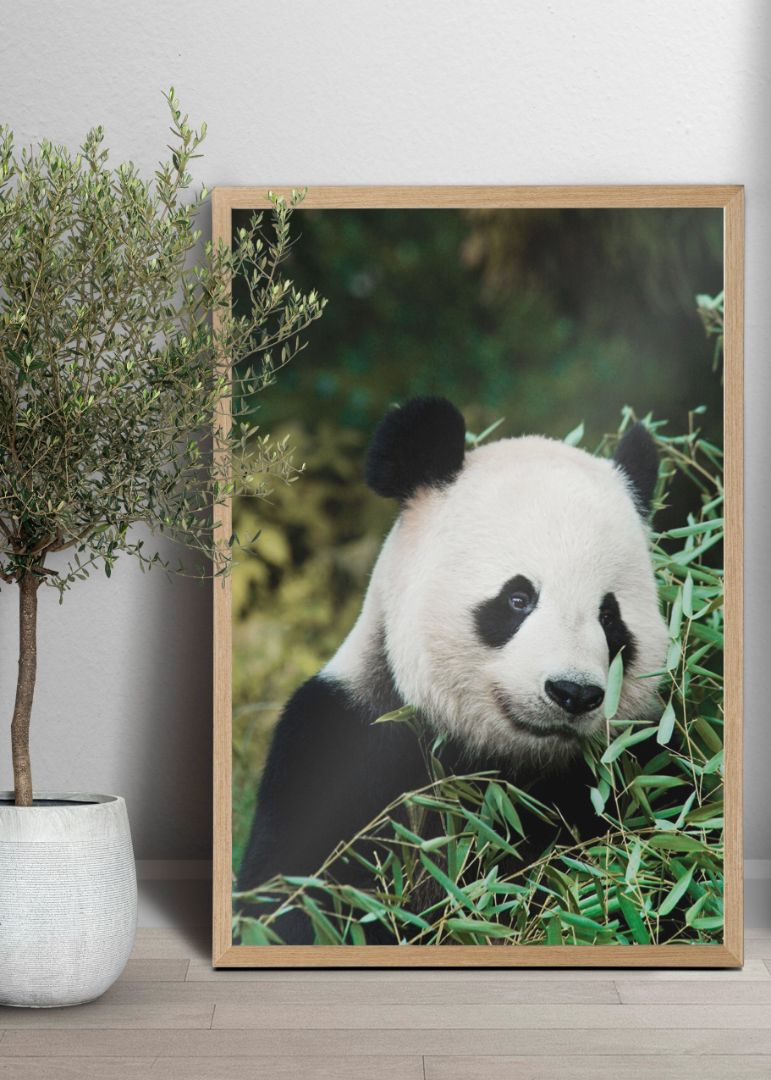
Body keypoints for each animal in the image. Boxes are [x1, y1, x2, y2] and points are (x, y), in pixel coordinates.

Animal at [236, 396, 669, 943]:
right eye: (518, 598)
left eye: (609, 618)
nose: (573, 692)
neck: (501, 764)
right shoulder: (339, 750)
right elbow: (292, 899)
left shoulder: (629, 775)